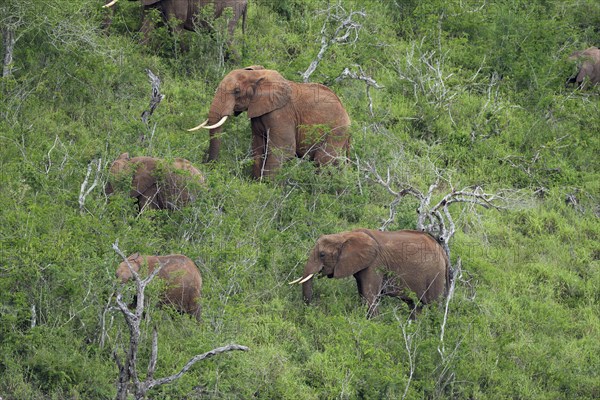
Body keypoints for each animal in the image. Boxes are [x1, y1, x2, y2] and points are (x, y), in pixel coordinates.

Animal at [189, 65, 352, 178]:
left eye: (236, 91)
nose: (208, 166)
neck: (258, 75)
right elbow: (258, 148)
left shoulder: (281, 113)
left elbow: (283, 150)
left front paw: (267, 188)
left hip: (336, 131)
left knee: (322, 161)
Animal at [290, 228, 450, 318]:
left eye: (322, 254)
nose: (311, 309)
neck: (345, 235)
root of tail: (443, 251)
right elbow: (362, 293)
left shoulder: (375, 263)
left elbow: (369, 295)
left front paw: (374, 324)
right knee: (415, 306)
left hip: (435, 274)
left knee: (434, 305)